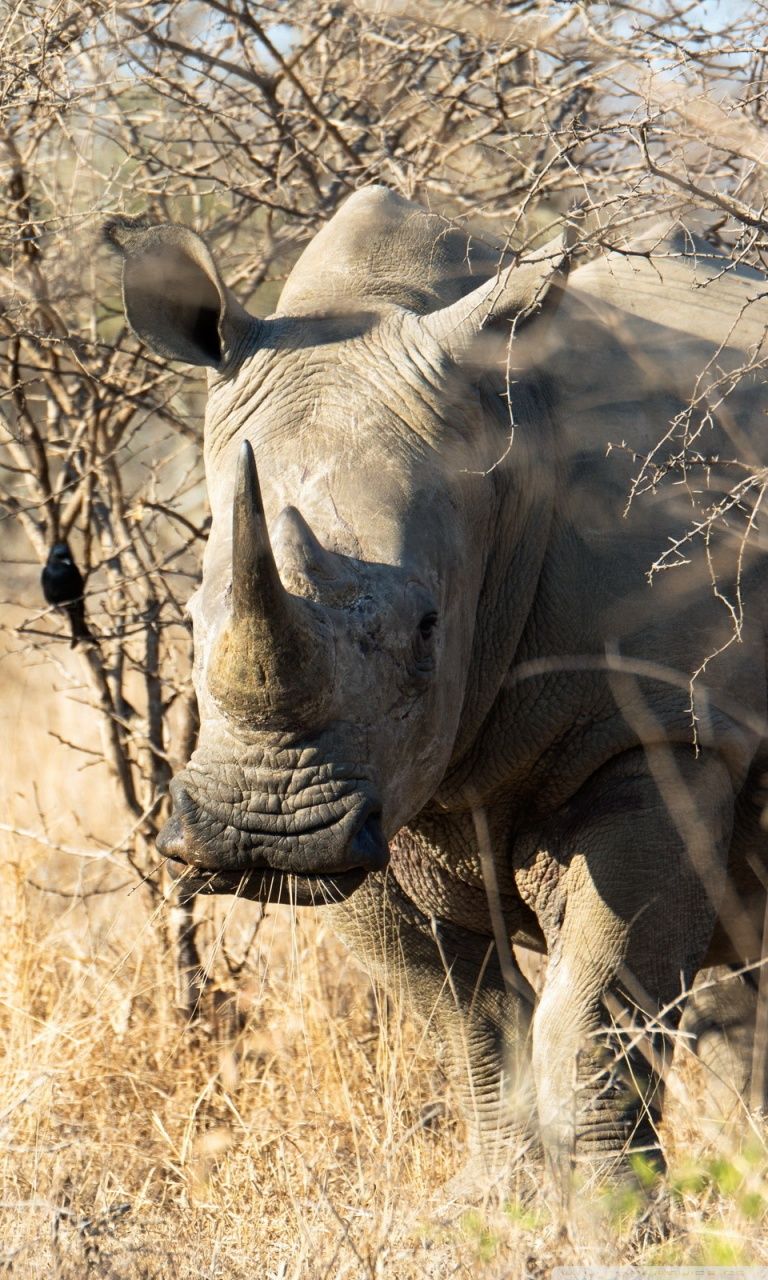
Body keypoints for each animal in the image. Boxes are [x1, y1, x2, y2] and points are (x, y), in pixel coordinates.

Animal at [105, 188, 768, 1188]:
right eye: (188, 617)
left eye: (427, 628)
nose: (263, 832)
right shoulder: (365, 797)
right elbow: (469, 1026)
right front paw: (502, 1203)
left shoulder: (663, 728)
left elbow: (592, 1028)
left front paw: (614, 1212)